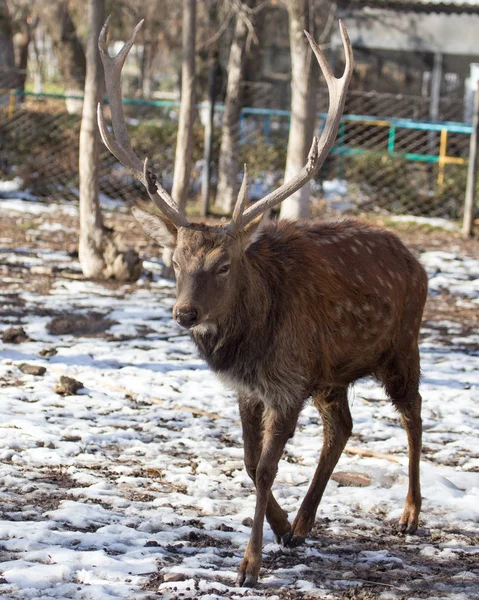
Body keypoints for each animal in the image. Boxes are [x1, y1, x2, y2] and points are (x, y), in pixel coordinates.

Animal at [96, 17, 428, 584]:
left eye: (225, 265)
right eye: (175, 263)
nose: (185, 313)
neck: (250, 342)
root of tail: (418, 262)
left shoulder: (286, 381)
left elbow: (269, 466)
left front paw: (250, 564)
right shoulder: (251, 388)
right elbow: (252, 465)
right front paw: (280, 528)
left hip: (402, 346)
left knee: (414, 415)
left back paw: (408, 514)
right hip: (331, 373)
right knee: (342, 427)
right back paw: (303, 523)